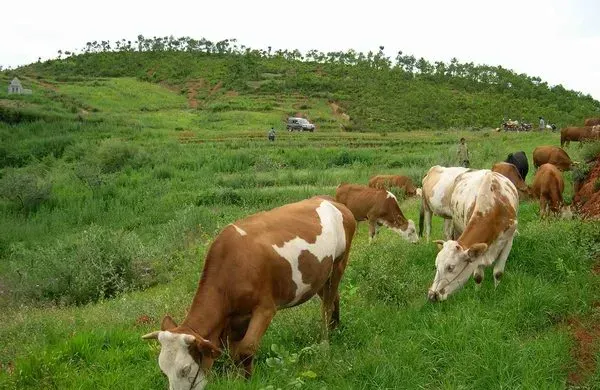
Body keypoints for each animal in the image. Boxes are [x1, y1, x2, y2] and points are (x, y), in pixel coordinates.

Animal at [141, 198, 356, 390]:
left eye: (185, 369)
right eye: (163, 371)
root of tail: (333, 202)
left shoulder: (265, 308)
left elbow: (246, 349)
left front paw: (246, 380)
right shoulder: (234, 320)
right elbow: (233, 352)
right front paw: (235, 378)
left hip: (339, 263)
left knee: (327, 304)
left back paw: (325, 342)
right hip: (320, 274)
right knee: (333, 297)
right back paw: (336, 327)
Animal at [426, 170, 520, 302]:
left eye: (450, 267)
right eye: (436, 265)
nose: (431, 295)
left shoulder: (508, 241)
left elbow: (498, 272)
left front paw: (496, 291)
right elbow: (478, 276)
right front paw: (477, 294)